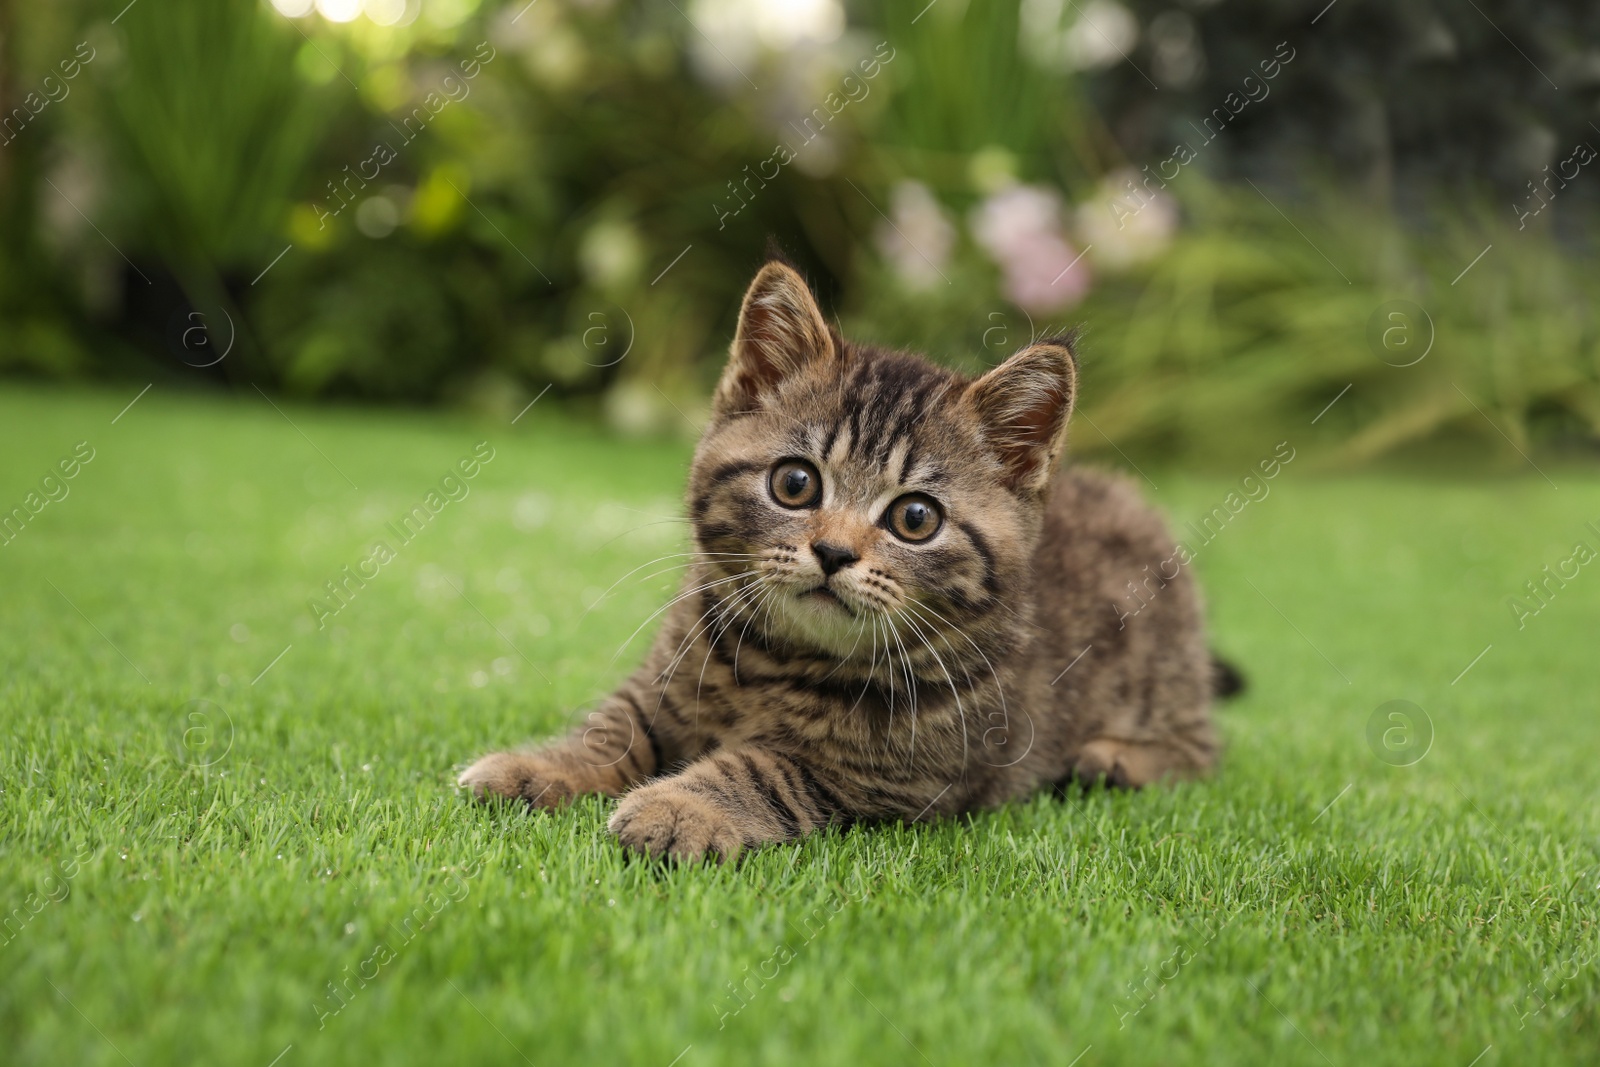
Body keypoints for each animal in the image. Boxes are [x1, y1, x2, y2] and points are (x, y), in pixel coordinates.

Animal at [464, 262, 1222, 863]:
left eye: (916, 518)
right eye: (795, 483)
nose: (832, 551)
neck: (777, 663)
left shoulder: (888, 775)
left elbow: (762, 766)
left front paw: (677, 807)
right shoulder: (660, 682)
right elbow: (613, 727)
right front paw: (535, 765)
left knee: (1207, 749)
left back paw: (1118, 758)